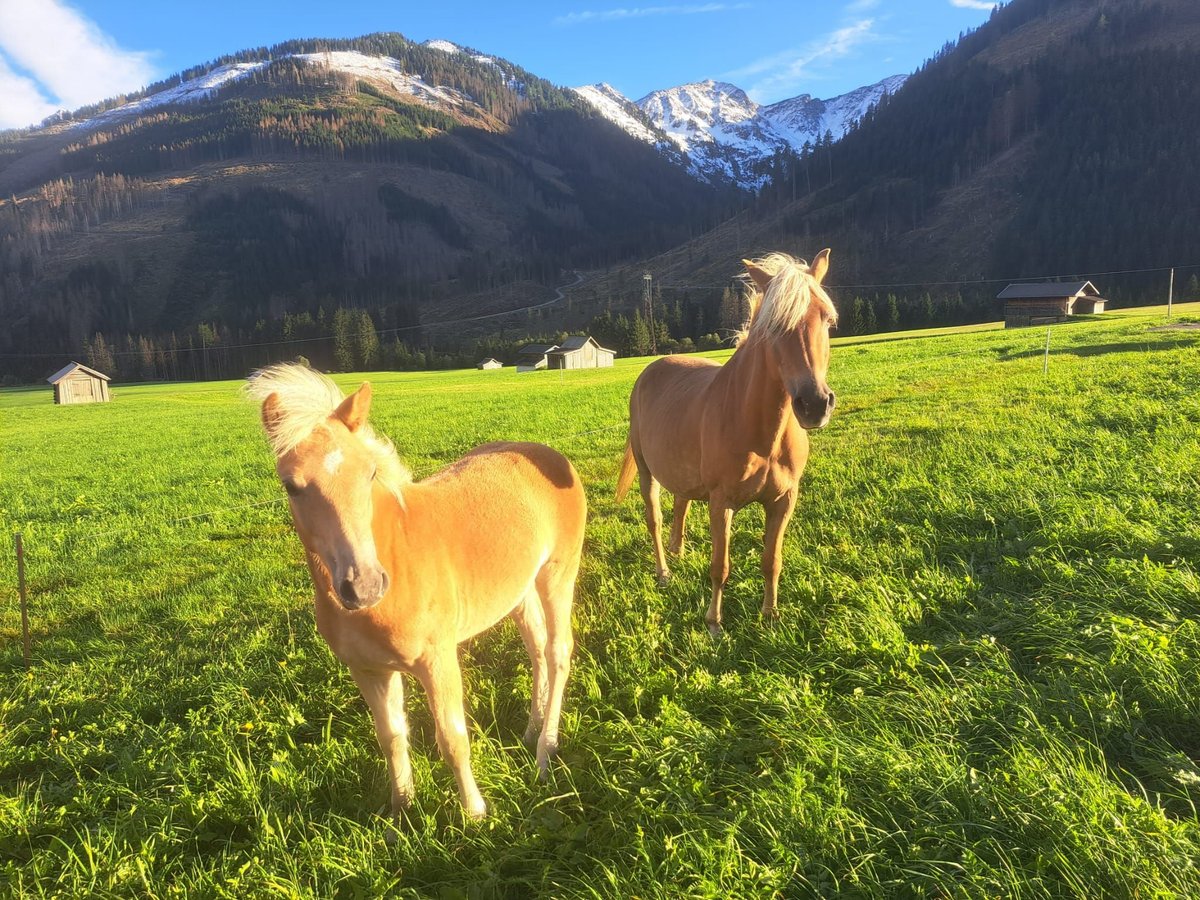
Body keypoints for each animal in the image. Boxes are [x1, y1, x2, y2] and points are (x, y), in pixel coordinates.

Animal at [250, 367, 588, 825]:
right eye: (291, 486)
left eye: (369, 474)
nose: (364, 585)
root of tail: (550, 456)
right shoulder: (369, 670)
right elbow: (392, 738)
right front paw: (401, 814)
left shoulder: (437, 659)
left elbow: (453, 739)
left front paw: (475, 814)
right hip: (520, 591)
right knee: (536, 648)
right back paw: (531, 729)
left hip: (557, 574)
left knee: (557, 652)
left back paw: (544, 752)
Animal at [619, 250, 835, 638]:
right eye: (773, 326)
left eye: (827, 318)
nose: (814, 404)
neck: (761, 432)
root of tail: (651, 368)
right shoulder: (722, 503)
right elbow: (720, 565)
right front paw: (714, 622)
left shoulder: (784, 500)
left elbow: (771, 560)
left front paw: (770, 615)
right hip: (646, 471)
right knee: (654, 518)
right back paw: (664, 571)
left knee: (681, 503)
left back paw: (677, 550)